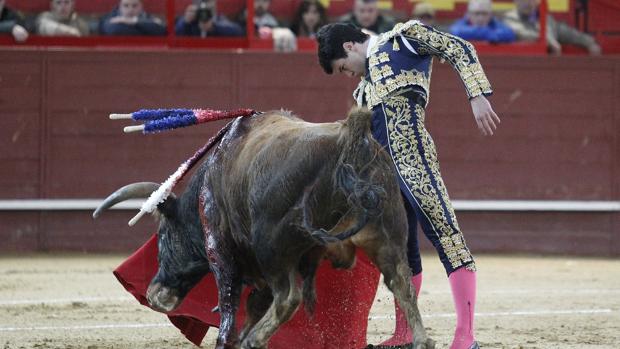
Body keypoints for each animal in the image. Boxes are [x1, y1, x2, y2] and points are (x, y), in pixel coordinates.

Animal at [93, 107, 436, 346]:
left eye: (163, 235)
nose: (155, 293)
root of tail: (348, 140)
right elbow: (253, 305)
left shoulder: (220, 248)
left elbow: (230, 305)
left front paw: (234, 339)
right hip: (388, 236)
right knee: (402, 283)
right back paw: (421, 341)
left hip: (272, 246)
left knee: (288, 297)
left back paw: (254, 340)